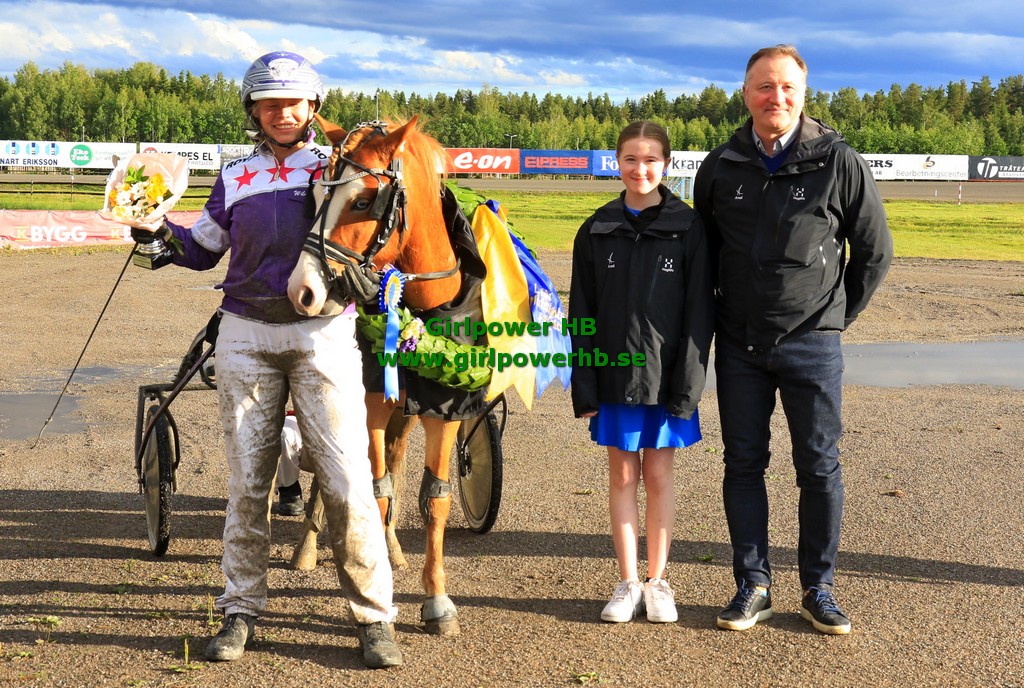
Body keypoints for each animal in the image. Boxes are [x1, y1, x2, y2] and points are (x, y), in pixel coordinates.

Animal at [286, 114, 487, 635]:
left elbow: (434, 498)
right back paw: (308, 546)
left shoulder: (443, 408)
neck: (421, 310)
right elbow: (374, 493)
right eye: (316, 194)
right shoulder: (371, 406)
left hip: (407, 414)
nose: (302, 290)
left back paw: (393, 547)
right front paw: (377, 591)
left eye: (362, 201)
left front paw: (436, 599)